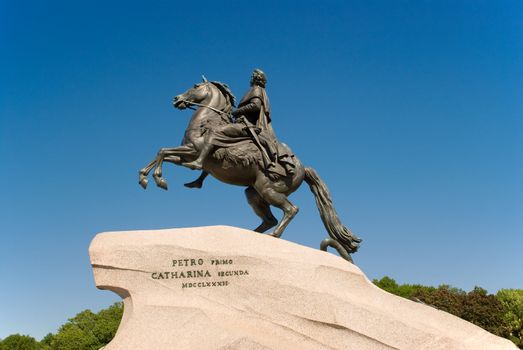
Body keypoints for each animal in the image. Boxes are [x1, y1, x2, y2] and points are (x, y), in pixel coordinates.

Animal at [137, 77, 362, 262]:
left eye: (195, 86)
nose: (176, 99)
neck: (206, 121)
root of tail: (302, 168)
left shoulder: (193, 152)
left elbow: (164, 152)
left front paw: (157, 179)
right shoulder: (184, 155)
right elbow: (162, 154)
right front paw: (145, 177)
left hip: (268, 189)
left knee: (291, 210)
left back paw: (273, 235)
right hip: (254, 193)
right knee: (270, 219)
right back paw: (251, 234)